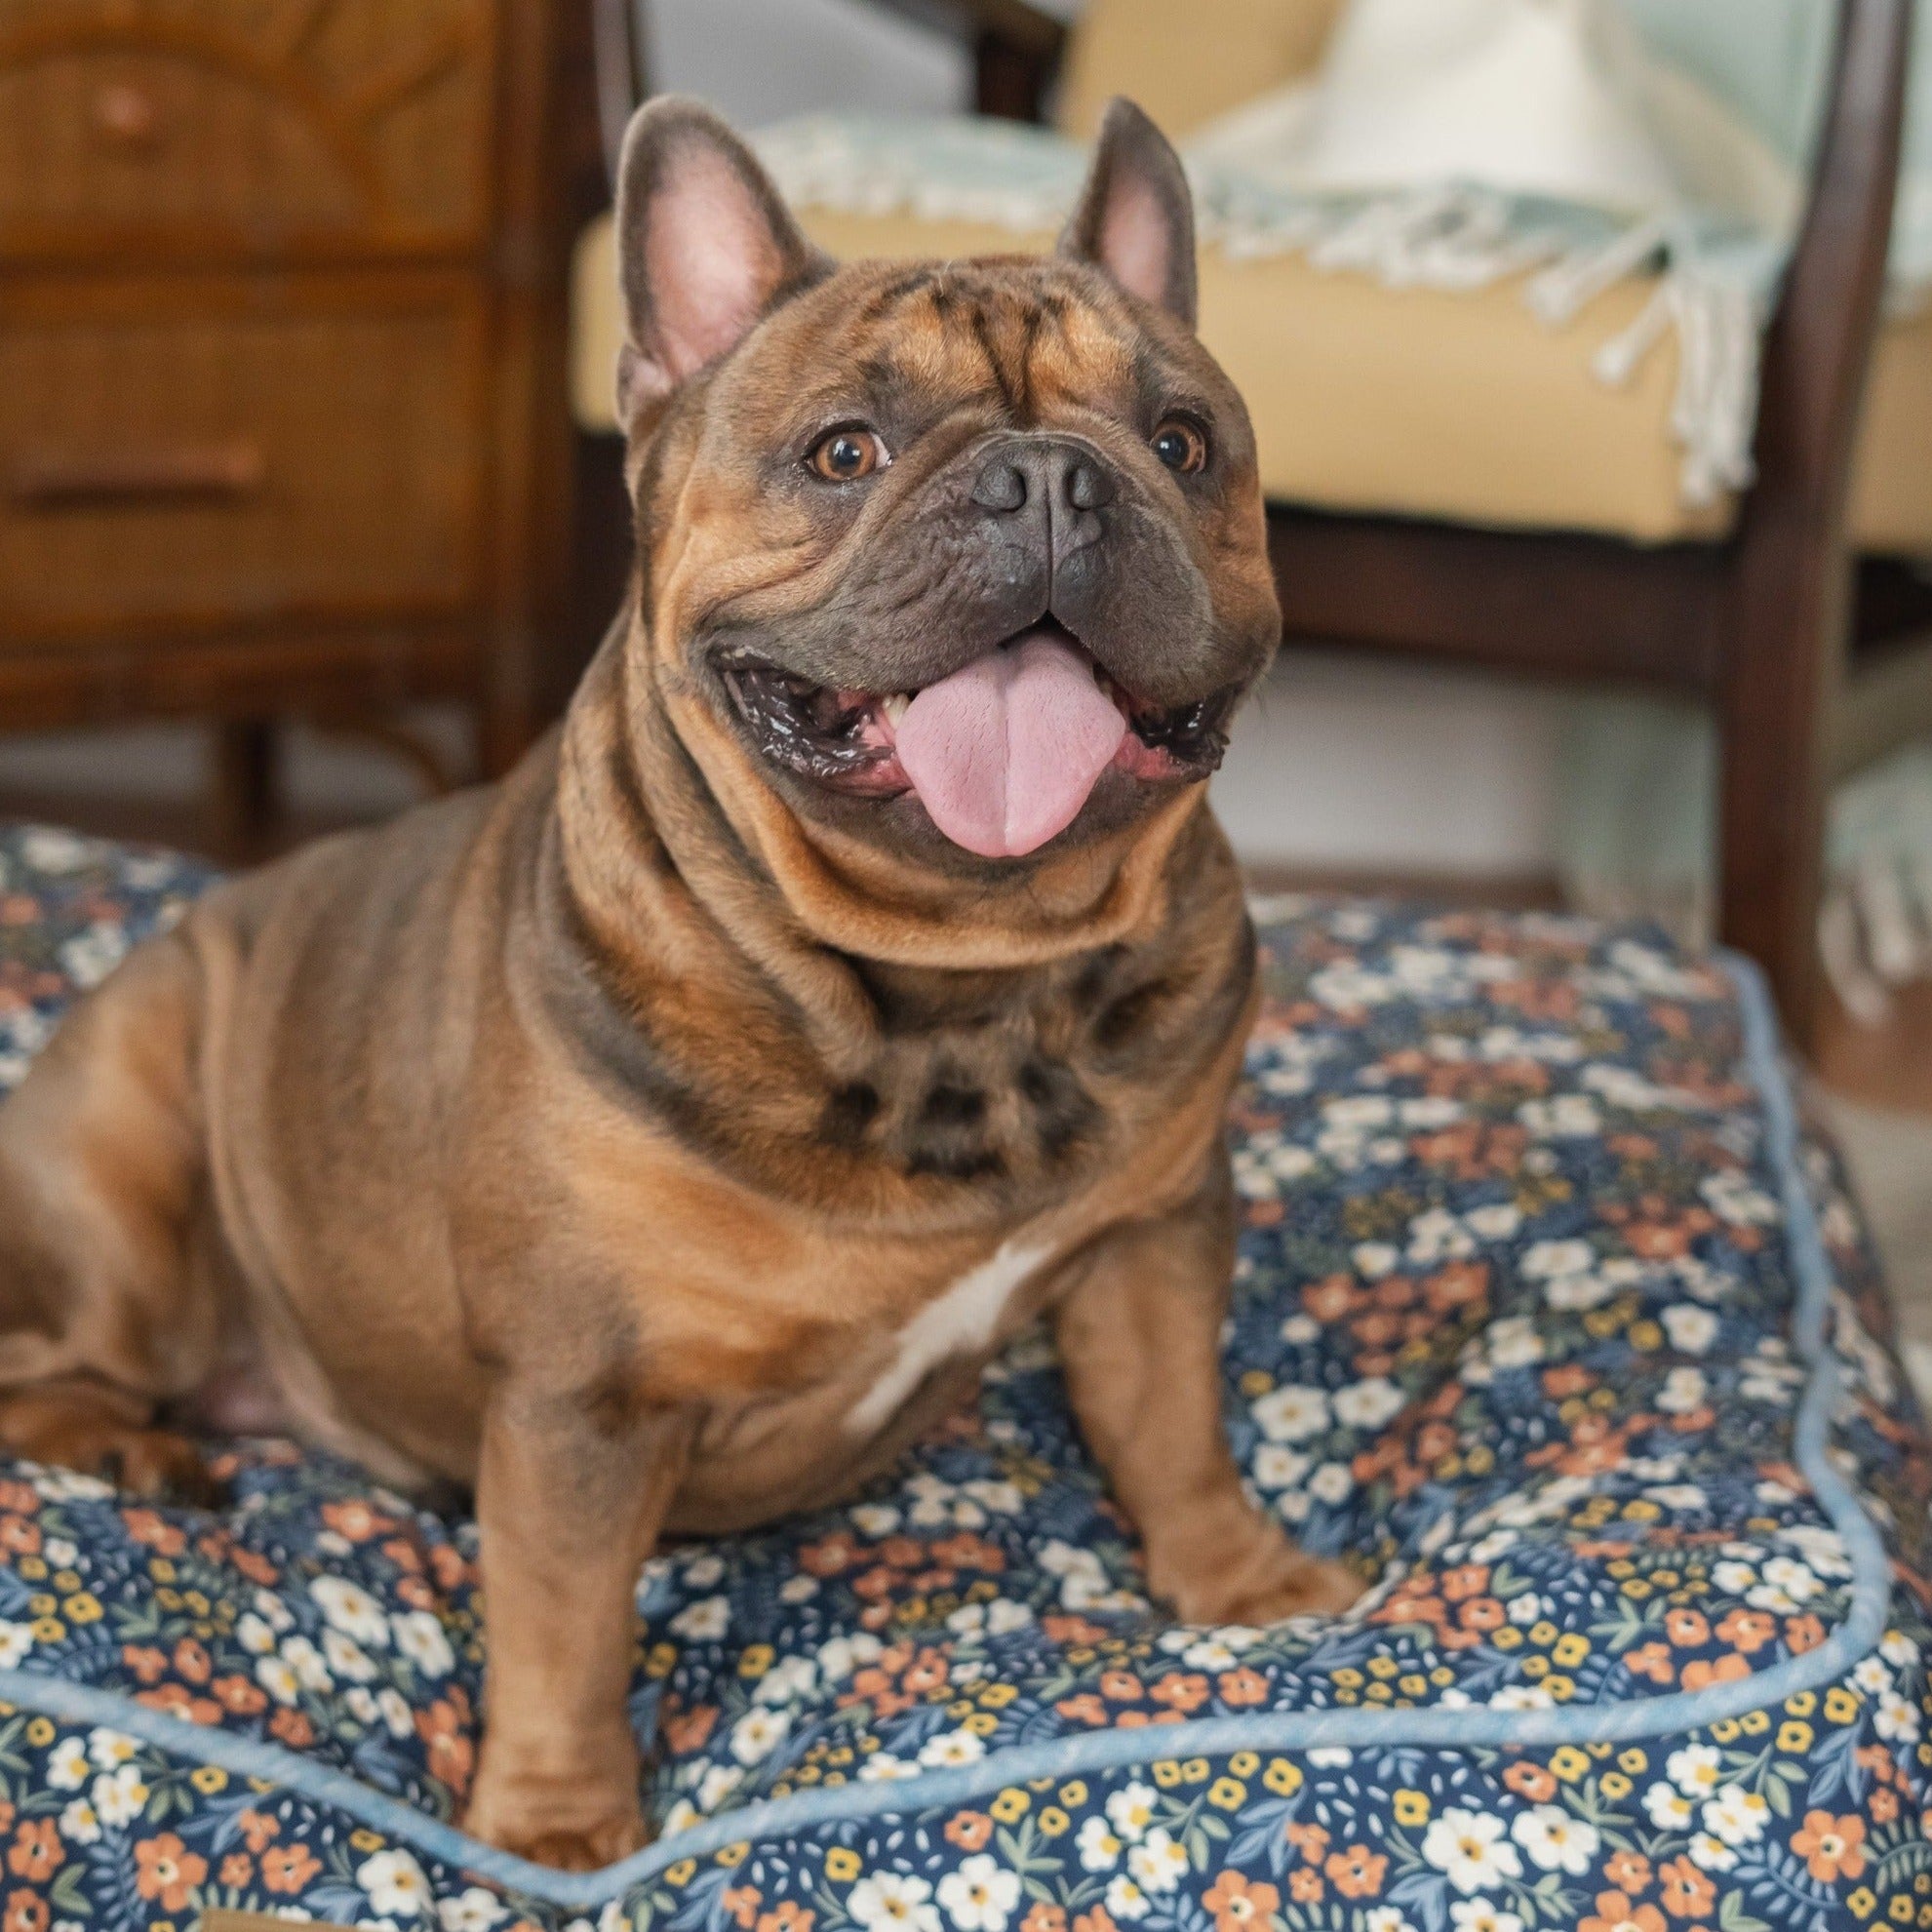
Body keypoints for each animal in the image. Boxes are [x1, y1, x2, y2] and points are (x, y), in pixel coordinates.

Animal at [0, 94, 1360, 1870]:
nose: (1055, 477)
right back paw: (133, 1450)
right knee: (41, 1368)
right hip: (129, 1172)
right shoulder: (587, 1396)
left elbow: (1174, 1427)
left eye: (1183, 442)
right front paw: (561, 1830)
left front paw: (1244, 1585)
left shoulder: (1151, 1244)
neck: (955, 988)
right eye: (845, 451)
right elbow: (565, 1621)